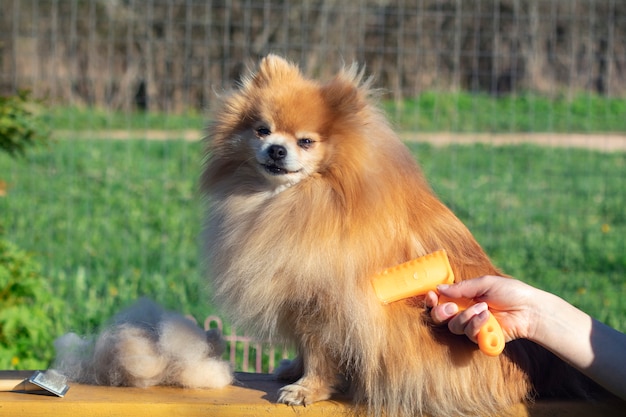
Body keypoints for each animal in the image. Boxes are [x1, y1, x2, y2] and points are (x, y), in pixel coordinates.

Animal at [202, 54, 592, 412]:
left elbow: (320, 351)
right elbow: (304, 345)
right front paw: (293, 369)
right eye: (262, 130)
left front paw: (307, 389)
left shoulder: (328, 303)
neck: (291, 200)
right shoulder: (299, 295)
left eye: (307, 142)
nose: (276, 150)